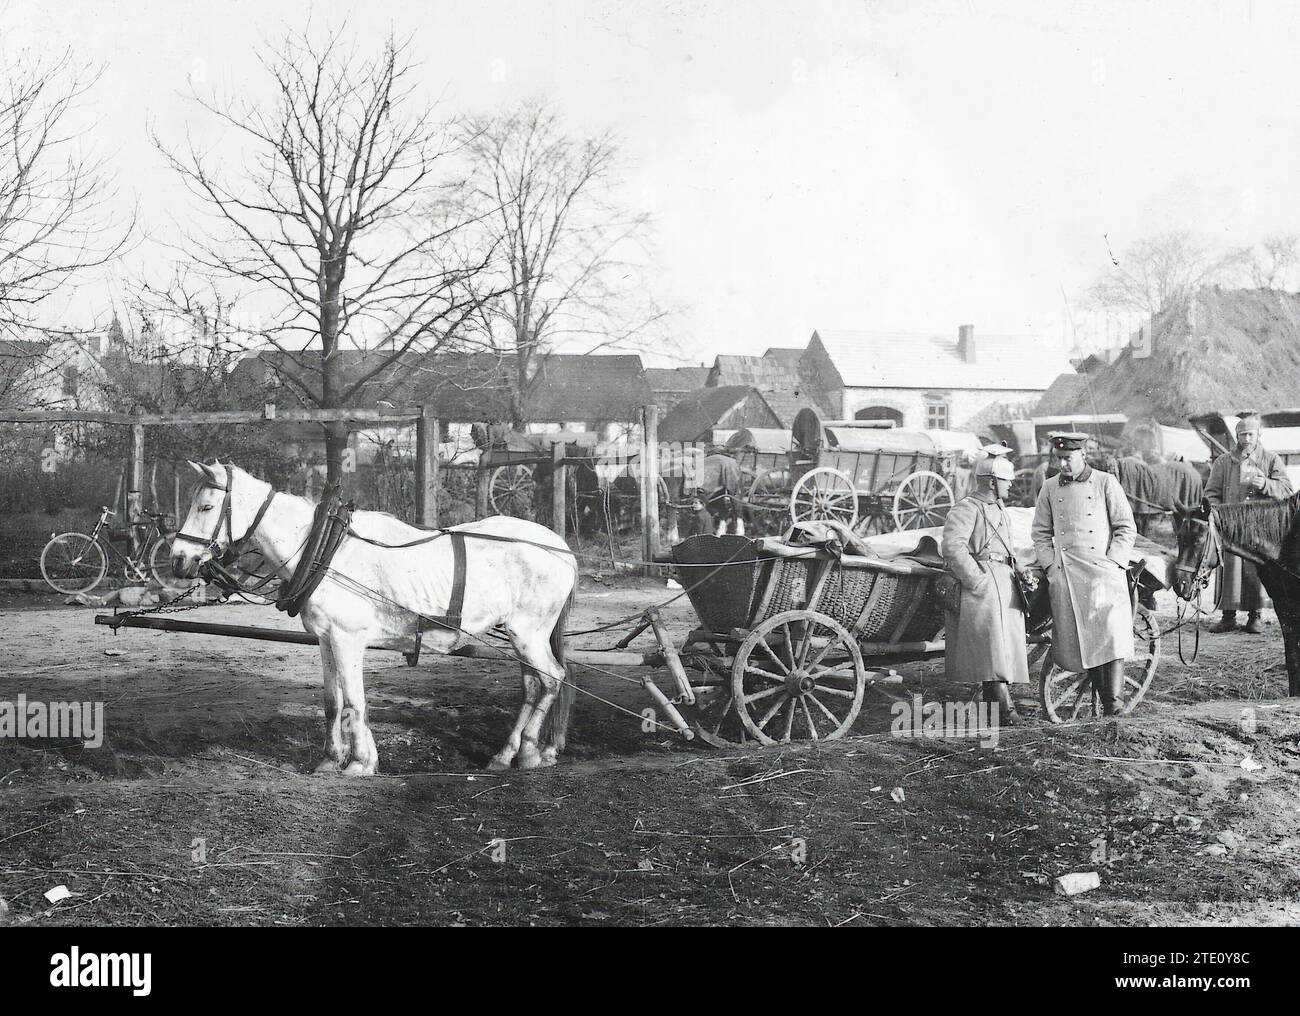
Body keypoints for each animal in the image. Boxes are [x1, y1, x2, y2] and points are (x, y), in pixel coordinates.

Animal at [170, 465, 577, 774]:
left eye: (206, 506)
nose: (177, 558)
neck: (325, 551)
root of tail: (562, 548)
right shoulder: (326, 638)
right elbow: (333, 702)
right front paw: (330, 760)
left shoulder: (347, 637)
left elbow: (355, 701)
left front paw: (359, 763)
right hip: (523, 637)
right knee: (532, 686)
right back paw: (508, 754)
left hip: (528, 633)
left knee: (551, 679)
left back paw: (528, 751)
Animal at [1175, 496, 1300, 701]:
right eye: (1179, 537)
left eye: (1198, 539)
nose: (1180, 585)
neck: (1286, 538)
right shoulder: (1284, 604)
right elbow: (1292, 655)